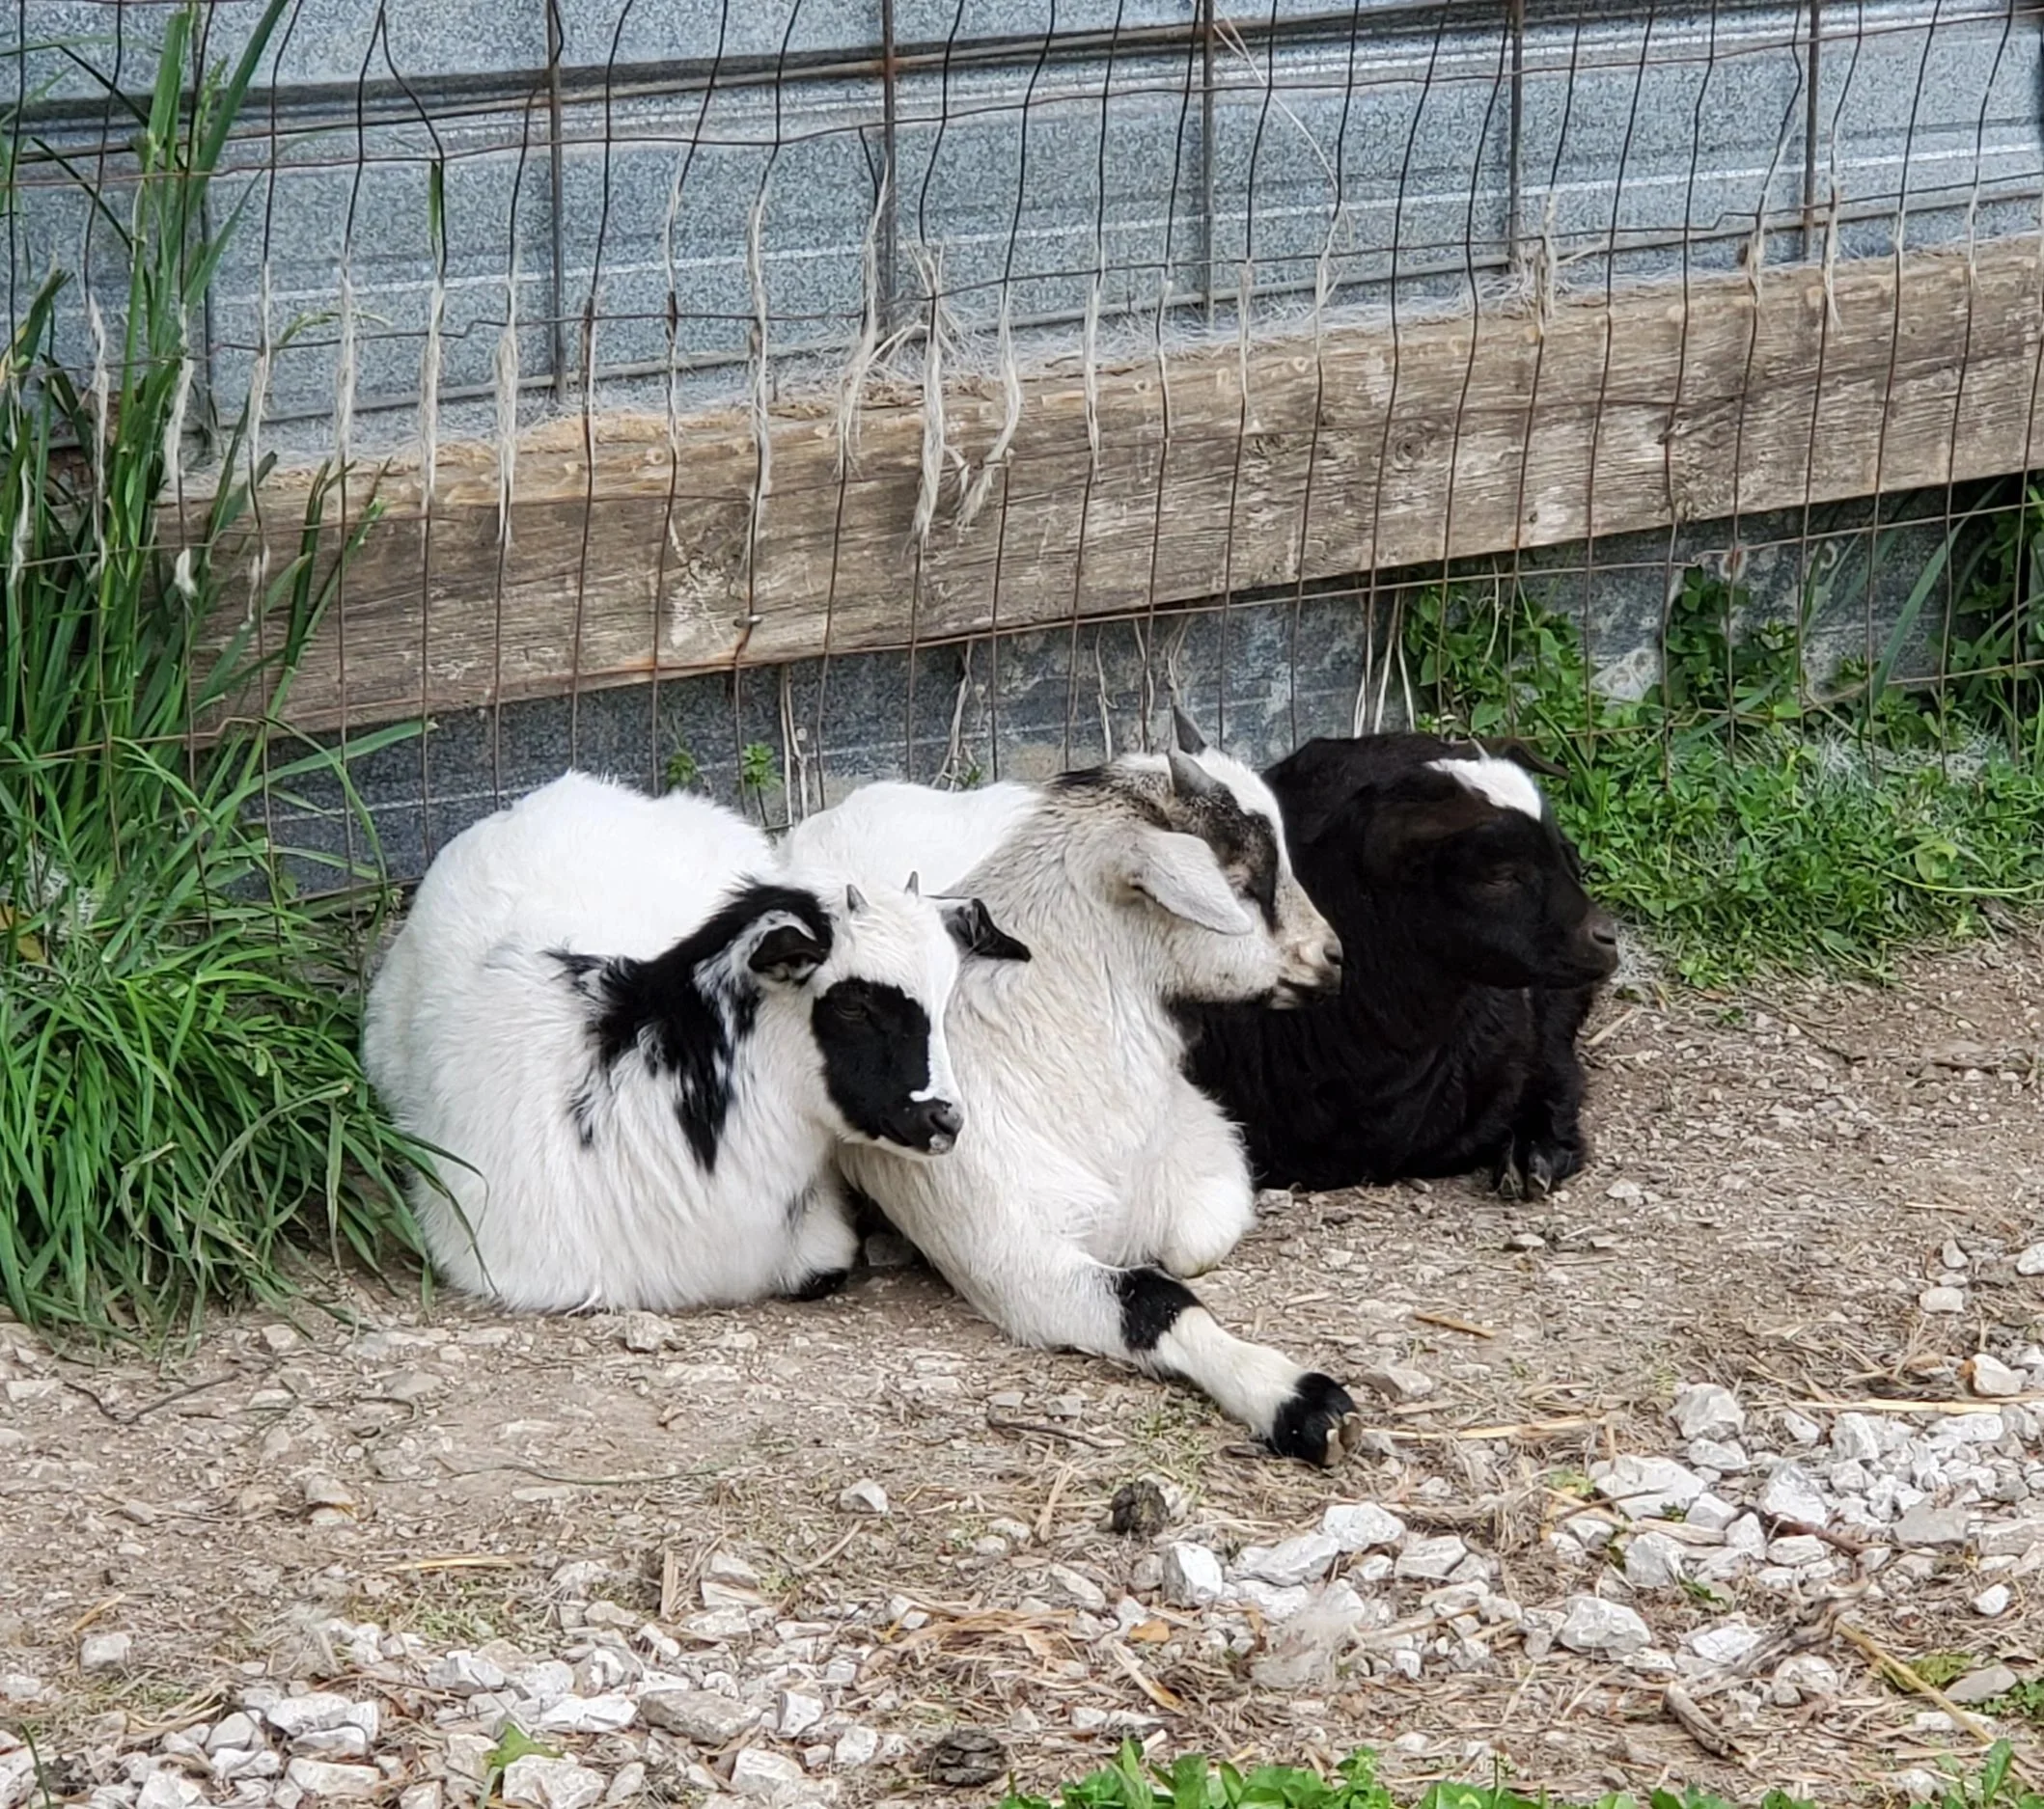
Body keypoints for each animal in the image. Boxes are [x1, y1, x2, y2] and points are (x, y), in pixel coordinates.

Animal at [792, 716, 1361, 1465]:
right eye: (1243, 881)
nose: (1333, 957)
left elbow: (1189, 1245)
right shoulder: (1011, 1253)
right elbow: (1153, 1296)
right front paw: (1302, 1400)